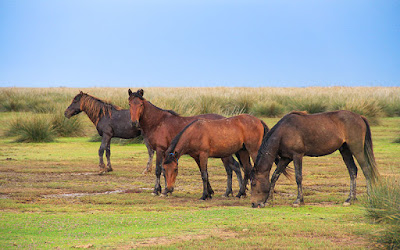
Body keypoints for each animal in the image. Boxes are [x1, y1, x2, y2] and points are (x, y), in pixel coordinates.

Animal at [252, 110, 380, 208]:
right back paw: (350, 199)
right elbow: (275, 176)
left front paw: (298, 201)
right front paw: (268, 201)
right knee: (353, 170)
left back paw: (369, 197)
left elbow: (298, 177)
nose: (254, 204)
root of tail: (360, 117)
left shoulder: (297, 155)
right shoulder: (285, 158)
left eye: (253, 184)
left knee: (366, 169)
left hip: (356, 149)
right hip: (345, 150)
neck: (283, 132)